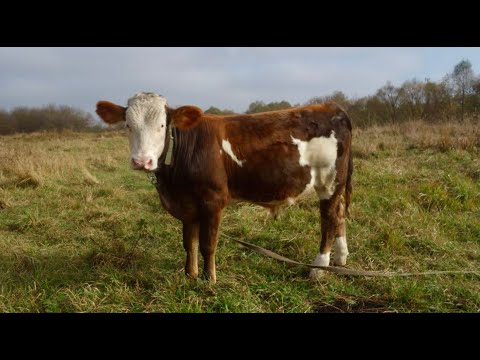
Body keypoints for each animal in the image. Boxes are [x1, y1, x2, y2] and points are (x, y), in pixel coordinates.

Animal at [96, 93, 352, 284]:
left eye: (162, 125)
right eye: (128, 125)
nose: (142, 161)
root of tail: (332, 106)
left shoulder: (213, 200)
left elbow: (208, 244)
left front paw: (209, 280)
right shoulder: (187, 204)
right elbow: (189, 243)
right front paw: (190, 275)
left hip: (328, 182)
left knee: (329, 219)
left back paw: (319, 268)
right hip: (336, 185)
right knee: (339, 215)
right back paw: (340, 258)